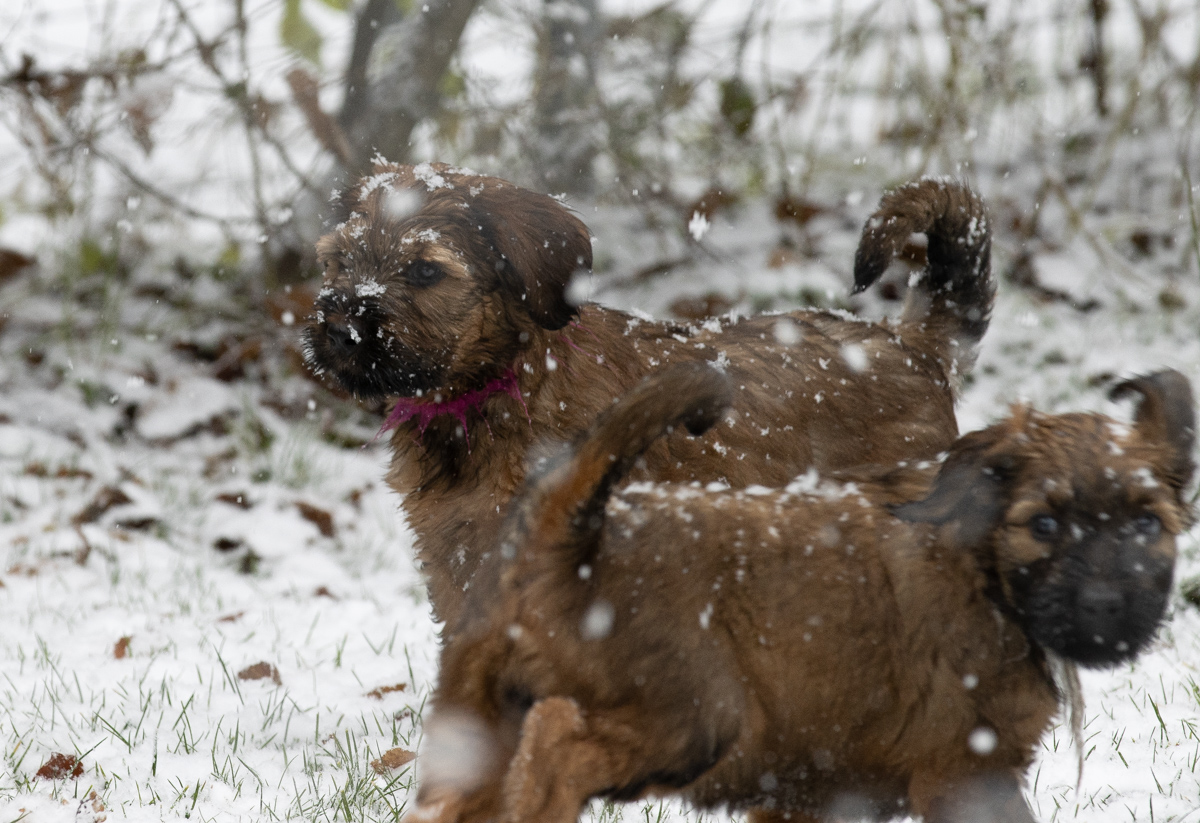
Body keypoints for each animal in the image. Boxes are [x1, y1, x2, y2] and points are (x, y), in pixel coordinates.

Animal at [304, 164, 993, 628]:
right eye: (337, 261)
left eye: (425, 271)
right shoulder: (457, 565)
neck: (501, 387)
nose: (338, 329)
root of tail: (911, 345)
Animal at [414, 363, 1194, 823]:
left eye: (1148, 524)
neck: (986, 569)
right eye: (1045, 524)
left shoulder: (817, 788)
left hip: (473, 714)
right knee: (555, 742)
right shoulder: (970, 770)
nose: (1107, 608)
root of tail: (568, 528)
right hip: (694, 714)